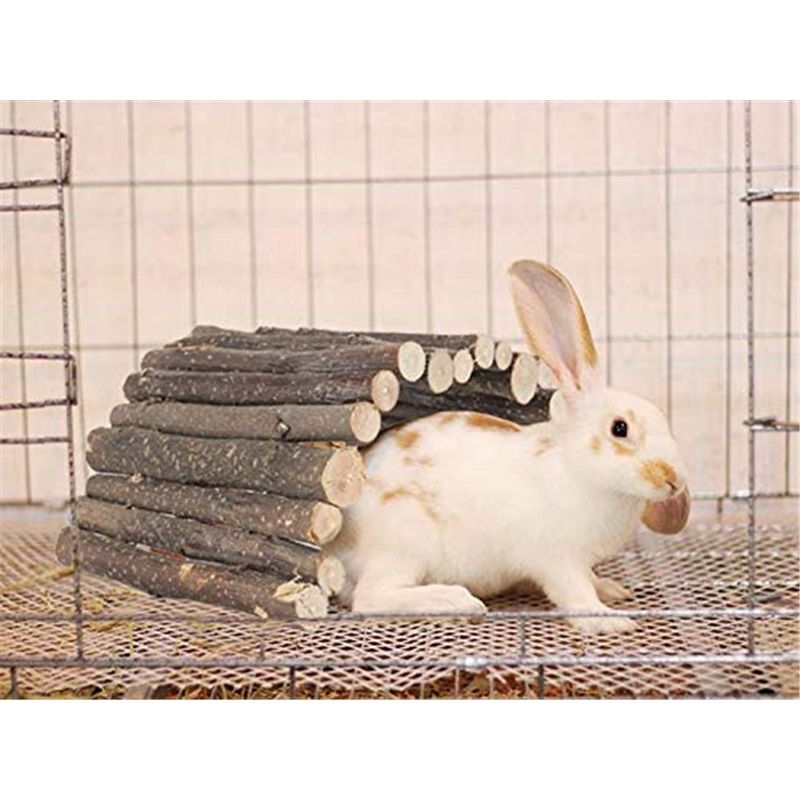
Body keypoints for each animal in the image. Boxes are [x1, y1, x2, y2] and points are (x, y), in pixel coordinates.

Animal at [327, 260, 690, 634]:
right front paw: (610, 621)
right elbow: (576, 595)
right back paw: (456, 601)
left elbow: (589, 581)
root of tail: (338, 544)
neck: (578, 470)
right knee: (372, 598)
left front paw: (611, 590)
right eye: (620, 428)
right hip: (405, 545)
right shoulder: (559, 559)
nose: (674, 479)